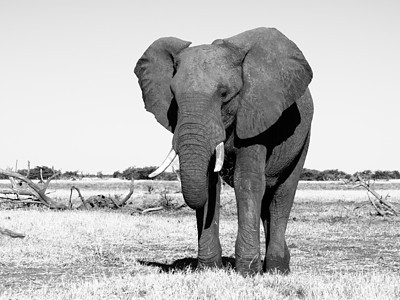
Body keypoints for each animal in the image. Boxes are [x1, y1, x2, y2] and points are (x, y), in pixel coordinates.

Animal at [136, 28, 314, 276]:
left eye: (223, 94)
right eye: (173, 95)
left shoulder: (255, 114)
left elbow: (246, 182)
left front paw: (248, 272)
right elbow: (210, 184)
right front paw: (209, 269)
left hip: (303, 137)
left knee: (282, 195)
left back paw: (277, 269)